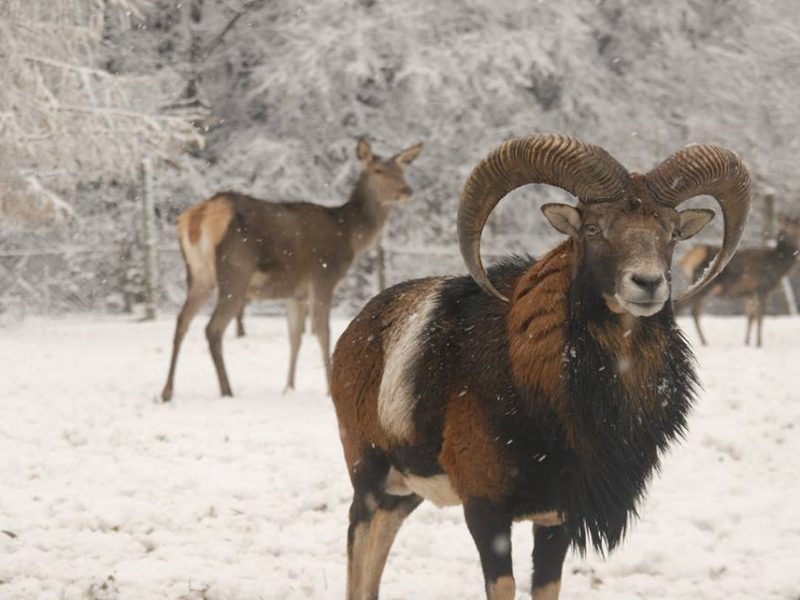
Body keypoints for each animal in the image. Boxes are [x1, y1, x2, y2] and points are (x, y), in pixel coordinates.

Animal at [162, 139, 424, 404]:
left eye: (402, 169)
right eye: (378, 170)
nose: (407, 190)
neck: (349, 237)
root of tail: (197, 217)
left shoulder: (295, 293)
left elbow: (295, 336)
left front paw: (288, 387)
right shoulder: (323, 276)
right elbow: (323, 331)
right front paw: (328, 389)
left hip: (199, 275)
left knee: (182, 320)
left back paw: (167, 391)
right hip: (235, 273)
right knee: (212, 328)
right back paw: (226, 390)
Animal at [680, 212, 800, 346]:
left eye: (798, 228)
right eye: (789, 230)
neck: (778, 268)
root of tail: (687, 259)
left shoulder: (750, 292)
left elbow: (750, 317)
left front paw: (747, 343)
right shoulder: (761, 287)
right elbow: (760, 317)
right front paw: (759, 344)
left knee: (693, 312)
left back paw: (703, 341)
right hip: (703, 287)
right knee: (684, 308)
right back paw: (702, 342)